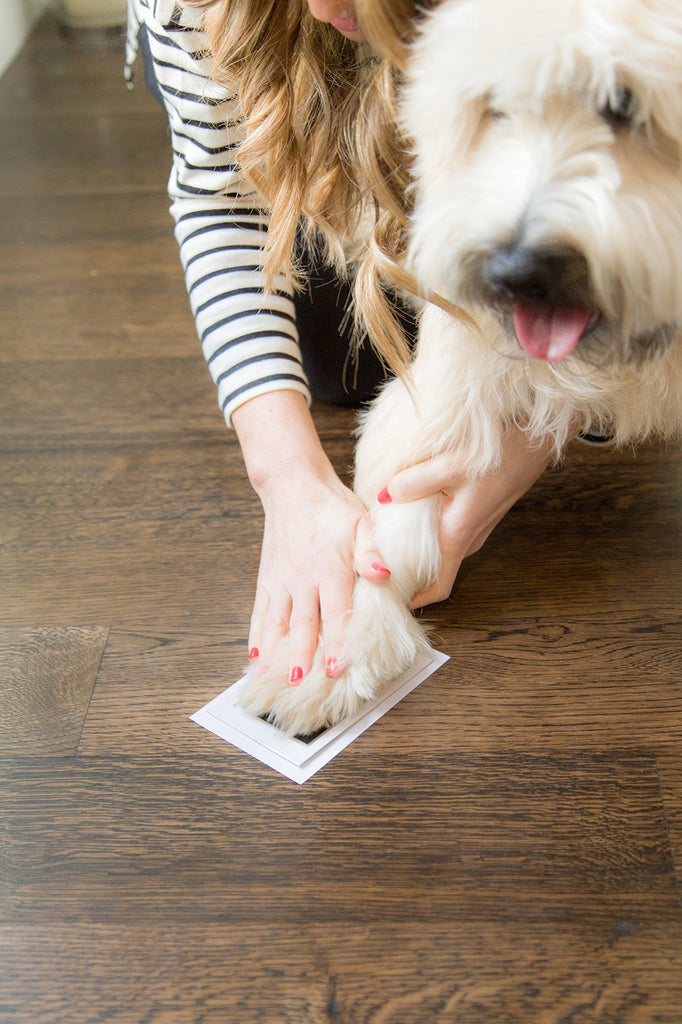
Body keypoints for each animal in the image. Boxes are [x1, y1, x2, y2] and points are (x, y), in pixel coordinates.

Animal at [237, 0, 679, 737]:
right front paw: (339, 652)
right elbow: (397, 503)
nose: (518, 272)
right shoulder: (454, 369)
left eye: (624, 104)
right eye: (493, 109)